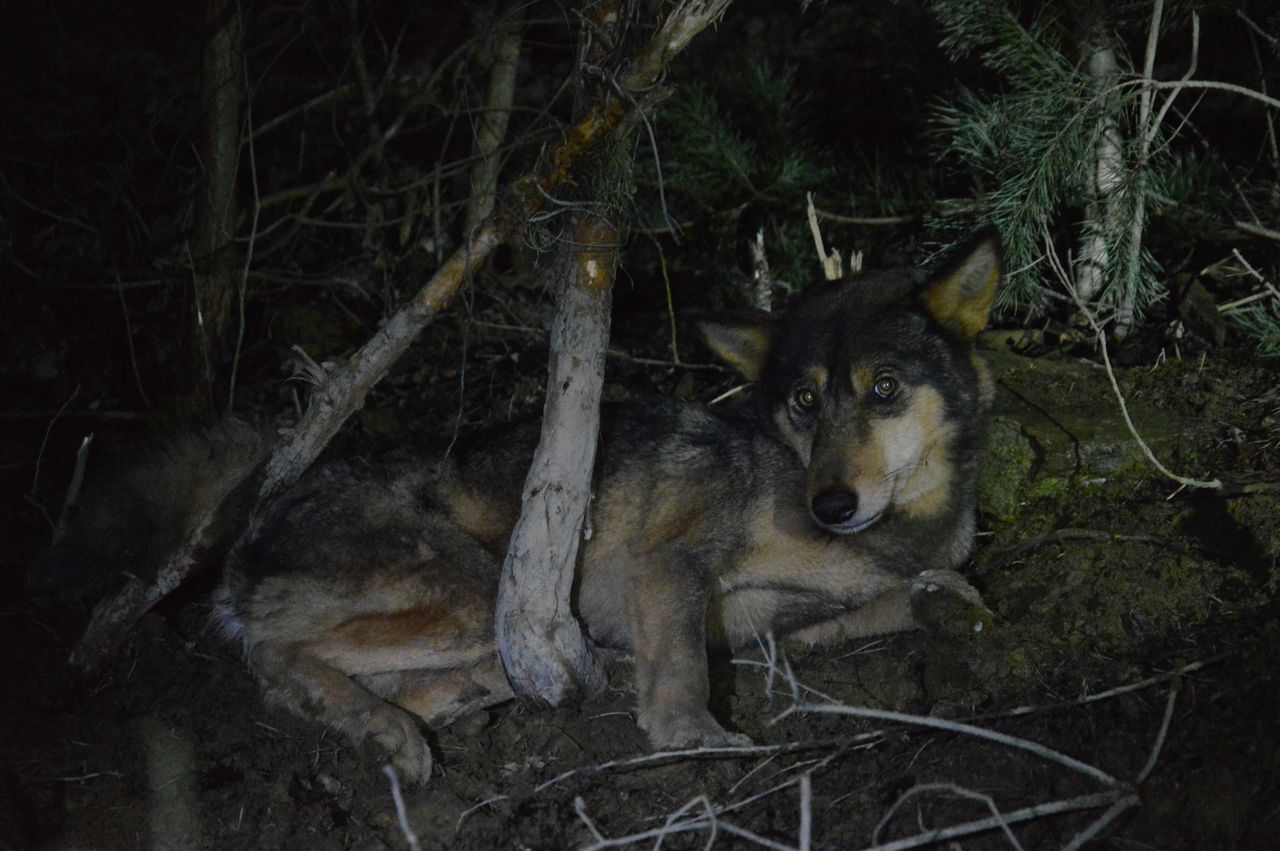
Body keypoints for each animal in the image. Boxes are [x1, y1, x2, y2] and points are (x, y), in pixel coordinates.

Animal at [37, 229, 998, 778]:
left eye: (883, 389)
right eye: (803, 400)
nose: (833, 501)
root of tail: (257, 515)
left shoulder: (782, 627)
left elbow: (902, 600)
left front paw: (946, 600)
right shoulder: (672, 565)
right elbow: (684, 670)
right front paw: (690, 735)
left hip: (474, 620)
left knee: (391, 681)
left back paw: (480, 698)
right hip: (475, 590)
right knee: (273, 656)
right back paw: (390, 736)